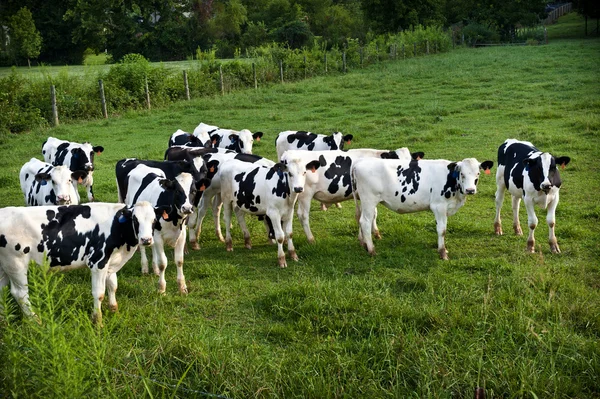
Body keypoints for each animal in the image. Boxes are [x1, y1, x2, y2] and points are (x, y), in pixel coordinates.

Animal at [0, 202, 164, 326]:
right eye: (135, 220)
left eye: (154, 221)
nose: (146, 240)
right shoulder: (98, 262)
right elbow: (99, 293)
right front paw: (97, 321)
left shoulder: (111, 263)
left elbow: (113, 286)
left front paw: (114, 310)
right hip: (16, 264)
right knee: (20, 294)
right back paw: (35, 320)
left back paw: (5, 320)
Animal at [116, 159, 210, 294]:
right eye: (177, 191)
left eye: (193, 191)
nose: (187, 208)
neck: (174, 218)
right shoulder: (158, 235)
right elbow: (163, 263)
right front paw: (161, 288)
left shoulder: (181, 235)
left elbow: (179, 260)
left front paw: (182, 287)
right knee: (143, 246)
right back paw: (145, 267)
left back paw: (154, 268)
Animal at [284, 148, 424, 244]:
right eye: (396, 160)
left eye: (412, 160)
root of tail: (289, 153)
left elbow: (373, 214)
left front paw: (375, 233)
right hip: (305, 194)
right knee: (303, 215)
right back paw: (311, 239)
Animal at [352, 156, 492, 260]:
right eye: (462, 174)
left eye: (478, 174)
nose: (470, 190)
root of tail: (360, 162)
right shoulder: (439, 206)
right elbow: (442, 230)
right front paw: (443, 253)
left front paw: (442, 249)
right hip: (369, 200)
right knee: (365, 222)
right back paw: (372, 250)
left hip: (364, 201)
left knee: (361, 219)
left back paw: (364, 244)